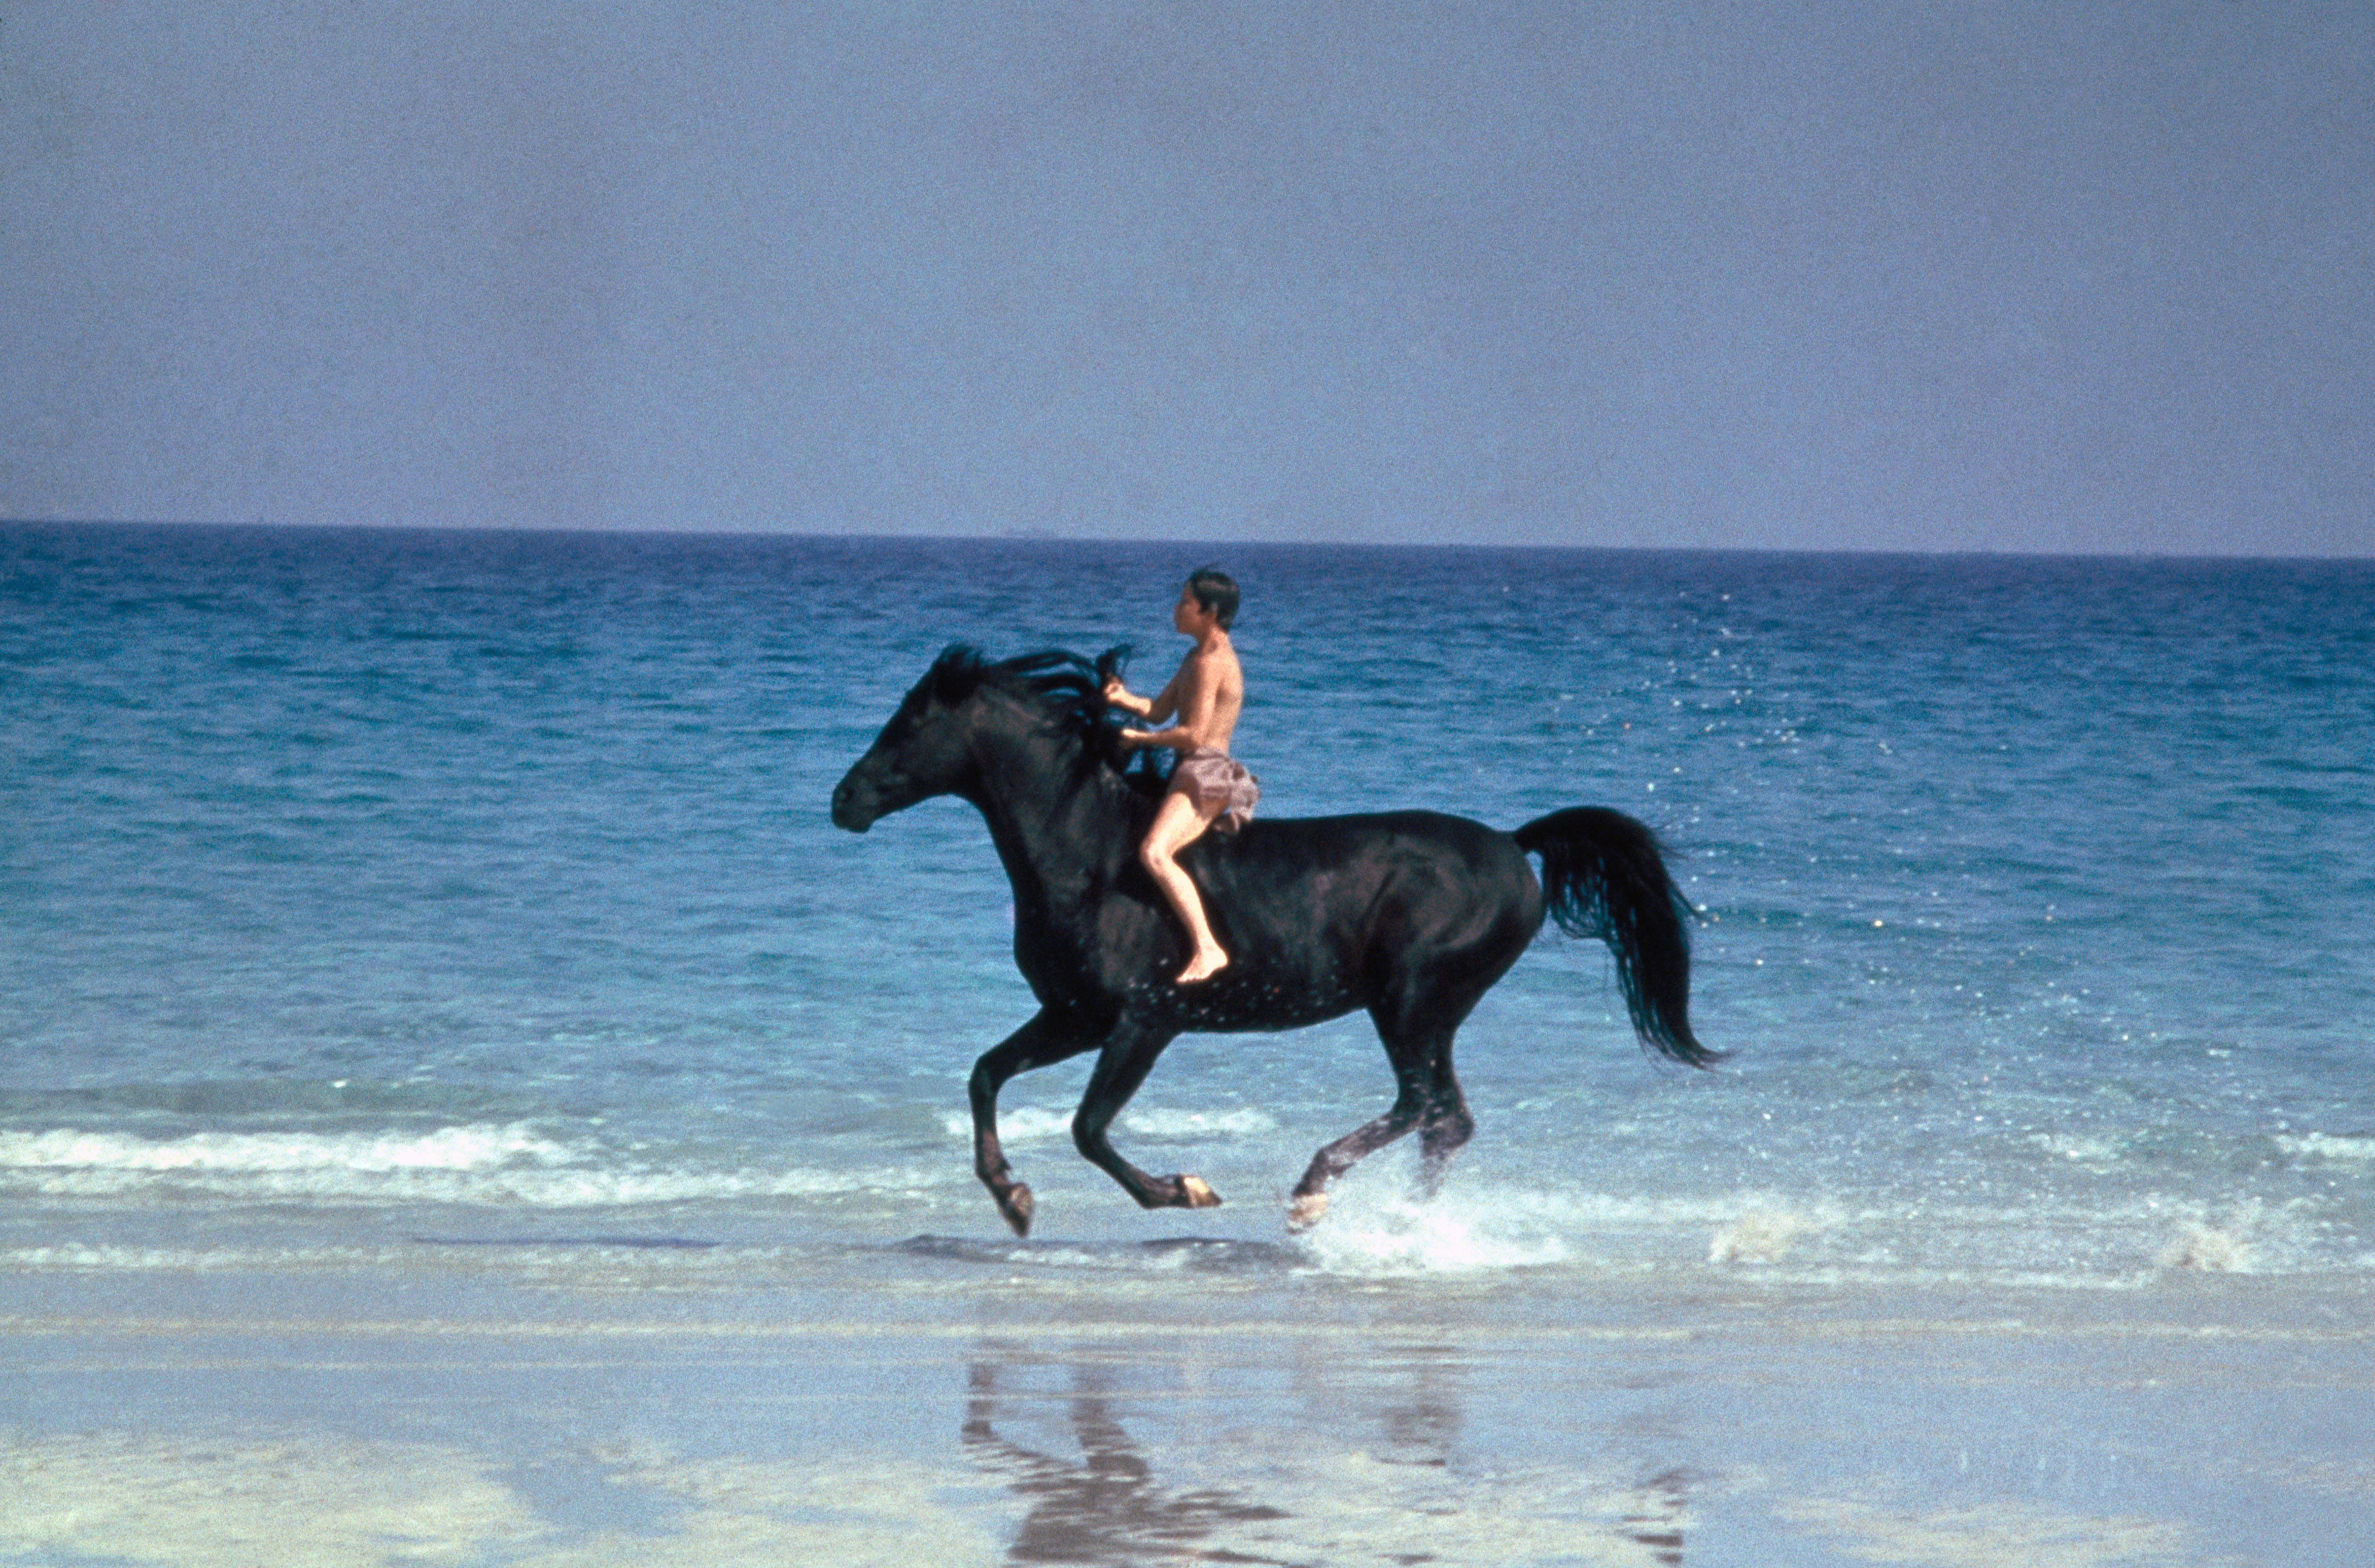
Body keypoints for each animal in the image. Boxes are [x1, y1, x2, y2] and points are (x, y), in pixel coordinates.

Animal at [826, 641, 1719, 1235]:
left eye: (909, 723)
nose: (843, 802)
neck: (1092, 852)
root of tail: (1513, 844)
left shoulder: (1145, 1020)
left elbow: (1088, 1128)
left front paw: (1185, 1190)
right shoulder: (1074, 1016)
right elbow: (985, 1074)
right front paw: (1012, 1198)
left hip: (1410, 1000)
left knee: (1422, 1105)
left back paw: (1313, 1194)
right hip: (1431, 1012)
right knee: (1446, 1119)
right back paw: (1405, 1223)